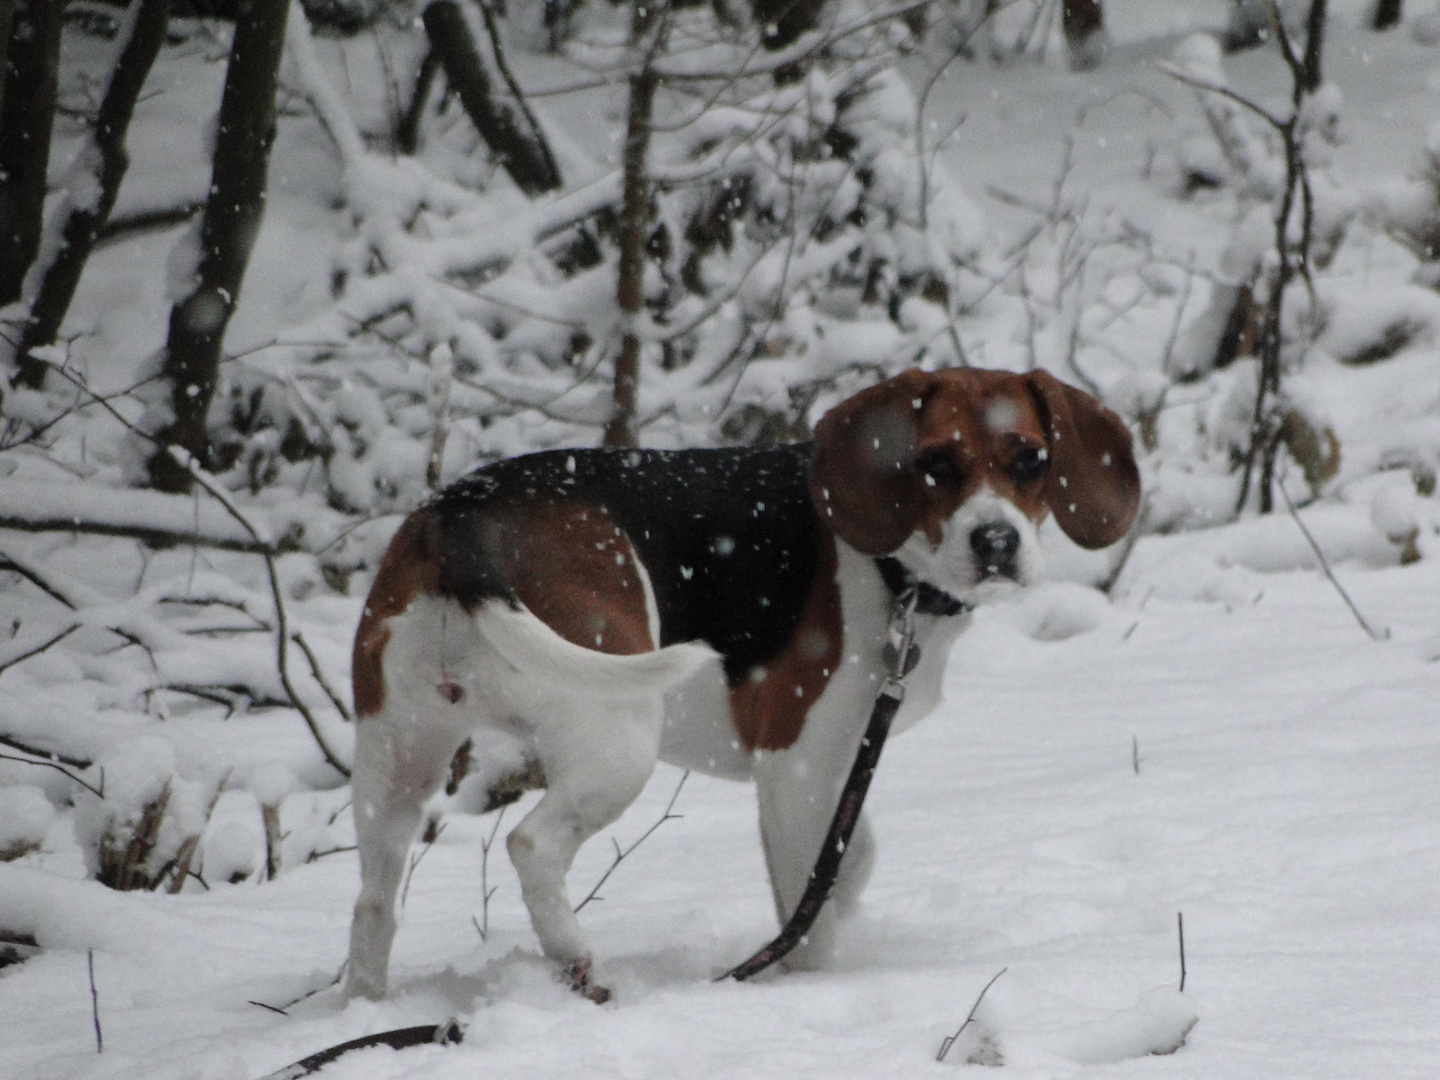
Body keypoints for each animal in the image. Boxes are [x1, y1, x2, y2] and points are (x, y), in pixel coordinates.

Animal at [342, 365, 1140, 1008]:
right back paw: (579, 962)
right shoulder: (800, 762)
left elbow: (849, 861)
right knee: (531, 844)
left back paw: (367, 1008)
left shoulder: (833, 769)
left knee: (374, 900)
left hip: (396, 760)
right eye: (937, 464)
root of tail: (460, 513)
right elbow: (808, 910)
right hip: (616, 737)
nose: (996, 543)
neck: (894, 572)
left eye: (1031, 460)